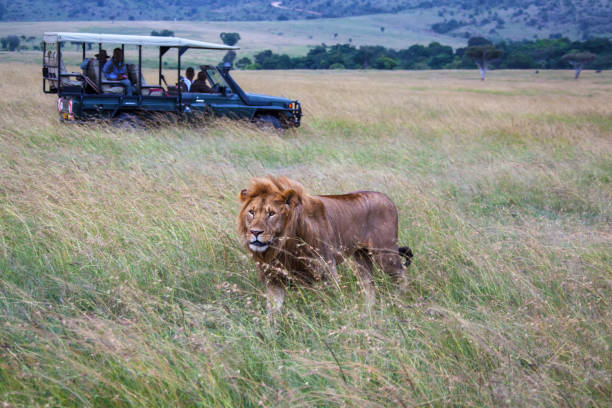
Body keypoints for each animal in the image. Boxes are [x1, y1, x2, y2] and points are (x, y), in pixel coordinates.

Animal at [237, 176, 414, 316]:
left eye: (271, 213)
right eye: (252, 212)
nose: (255, 232)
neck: (284, 246)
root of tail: (387, 198)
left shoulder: (327, 272)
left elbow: (331, 303)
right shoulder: (274, 278)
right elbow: (272, 311)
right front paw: (270, 333)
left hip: (384, 254)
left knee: (402, 274)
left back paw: (398, 301)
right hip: (361, 258)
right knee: (369, 287)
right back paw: (368, 313)